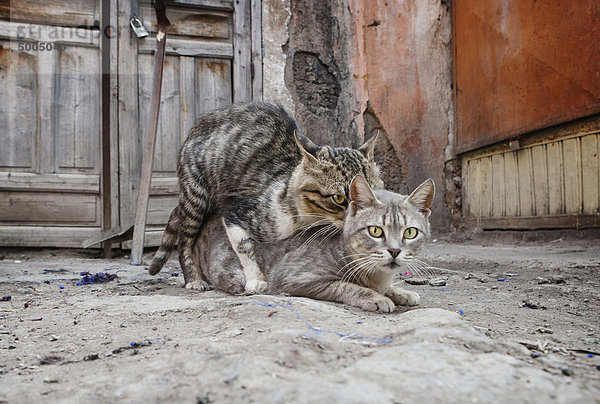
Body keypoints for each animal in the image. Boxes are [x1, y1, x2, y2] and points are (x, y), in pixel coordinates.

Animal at [150, 102, 384, 294]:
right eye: (339, 198)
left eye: (374, 193)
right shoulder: (235, 209)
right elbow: (244, 246)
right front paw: (256, 280)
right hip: (196, 194)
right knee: (185, 239)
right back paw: (193, 279)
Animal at [195, 174, 434, 312]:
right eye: (375, 231)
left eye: (410, 232)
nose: (394, 250)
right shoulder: (296, 277)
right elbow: (345, 285)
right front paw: (376, 297)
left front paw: (400, 292)